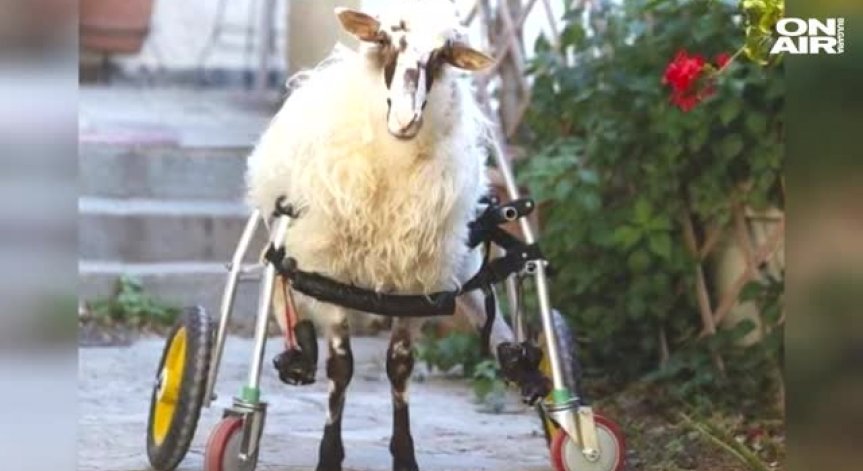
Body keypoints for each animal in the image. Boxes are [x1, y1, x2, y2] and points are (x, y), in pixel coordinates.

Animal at [245, 2, 549, 470]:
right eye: (386, 40)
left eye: (442, 55)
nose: (406, 120)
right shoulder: (331, 273)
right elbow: (341, 368)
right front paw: (329, 455)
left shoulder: (417, 282)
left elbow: (399, 366)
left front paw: (405, 456)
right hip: (296, 239)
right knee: (281, 288)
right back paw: (298, 357)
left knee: (489, 313)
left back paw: (523, 368)